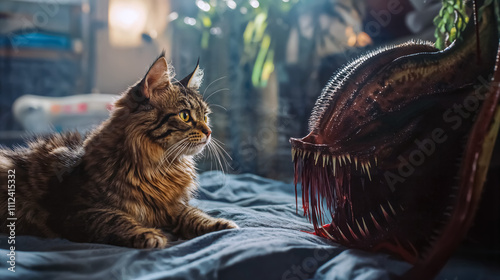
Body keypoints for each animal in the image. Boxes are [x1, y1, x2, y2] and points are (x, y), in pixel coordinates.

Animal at [0, 53, 238, 248]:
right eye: (185, 116)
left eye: (205, 116)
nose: (209, 132)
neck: (160, 167)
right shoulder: (74, 213)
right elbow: (115, 218)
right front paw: (149, 235)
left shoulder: (174, 206)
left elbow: (194, 214)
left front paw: (222, 224)